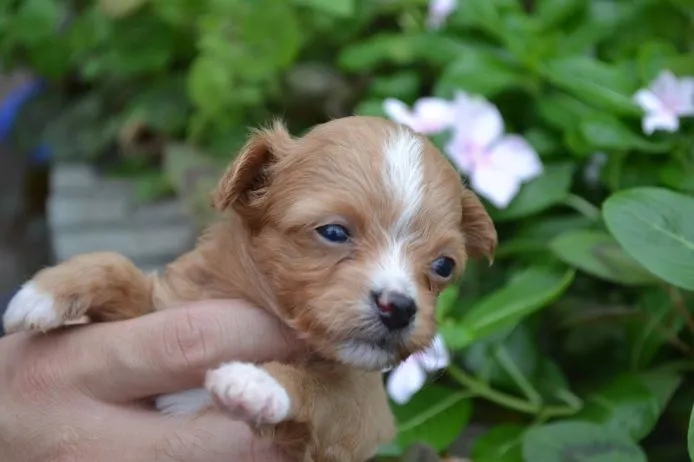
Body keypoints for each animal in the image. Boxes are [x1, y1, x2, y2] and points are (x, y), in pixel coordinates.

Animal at [2, 116, 498, 462]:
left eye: (443, 265)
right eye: (334, 232)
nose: (398, 307)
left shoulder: (359, 413)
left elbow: (317, 388)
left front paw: (257, 380)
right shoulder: (169, 304)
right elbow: (120, 267)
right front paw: (44, 293)